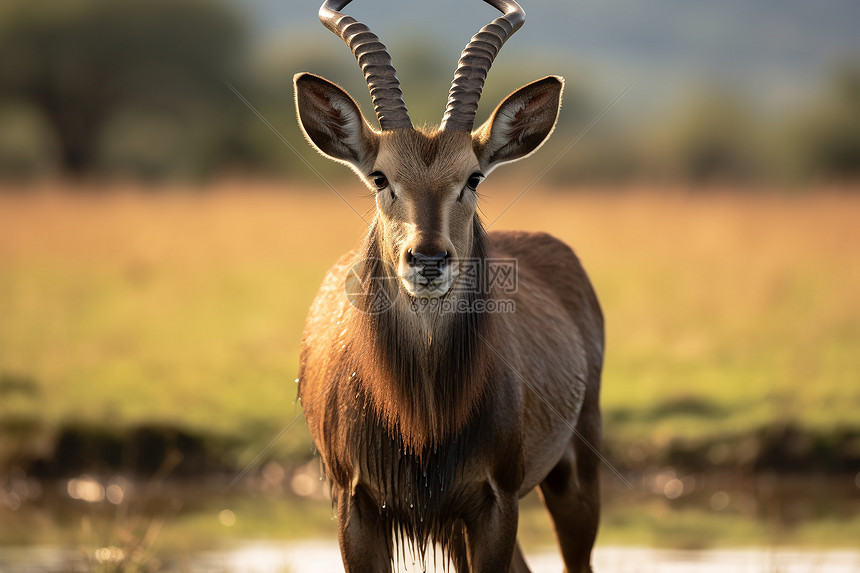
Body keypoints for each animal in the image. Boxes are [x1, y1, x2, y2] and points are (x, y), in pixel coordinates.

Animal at [296, 2, 604, 568]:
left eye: (473, 177)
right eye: (380, 177)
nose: (429, 259)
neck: (421, 416)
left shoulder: (495, 501)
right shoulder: (355, 506)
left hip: (571, 478)